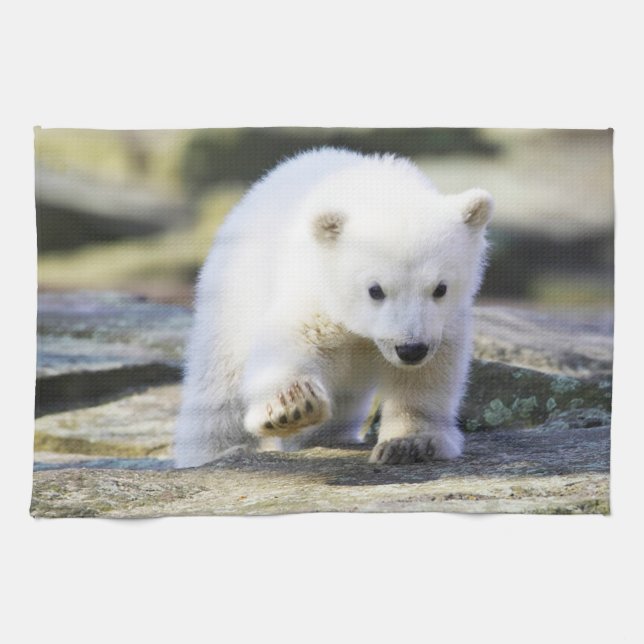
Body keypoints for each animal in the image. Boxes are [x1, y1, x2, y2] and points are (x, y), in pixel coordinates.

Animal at [174, 147, 492, 468]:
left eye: (440, 288)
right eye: (375, 289)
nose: (410, 349)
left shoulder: (443, 323)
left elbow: (428, 374)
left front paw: (409, 443)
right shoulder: (317, 288)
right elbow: (291, 339)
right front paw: (292, 407)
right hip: (233, 294)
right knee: (219, 386)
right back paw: (216, 451)